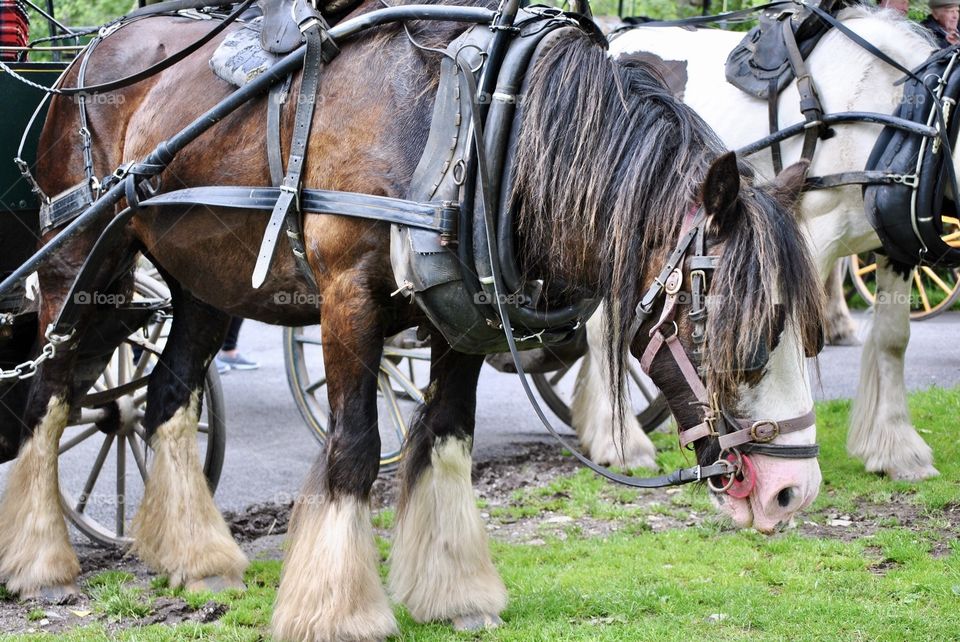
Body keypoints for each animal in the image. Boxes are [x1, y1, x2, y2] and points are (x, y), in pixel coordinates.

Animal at [0, 1, 822, 639]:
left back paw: (196, 560)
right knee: (49, 395)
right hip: (76, 264)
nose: (794, 492)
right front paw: (339, 612)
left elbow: (448, 438)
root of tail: (84, 62)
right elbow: (356, 450)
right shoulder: (347, 302)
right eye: (732, 329)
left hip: (203, 281)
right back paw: (42, 565)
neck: (474, 121)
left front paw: (456, 594)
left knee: (166, 397)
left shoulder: (464, 320)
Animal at [571, 6, 953, 482]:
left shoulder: (893, 247)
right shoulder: (808, 234)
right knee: (602, 331)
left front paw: (897, 450)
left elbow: (892, 338)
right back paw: (619, 444)